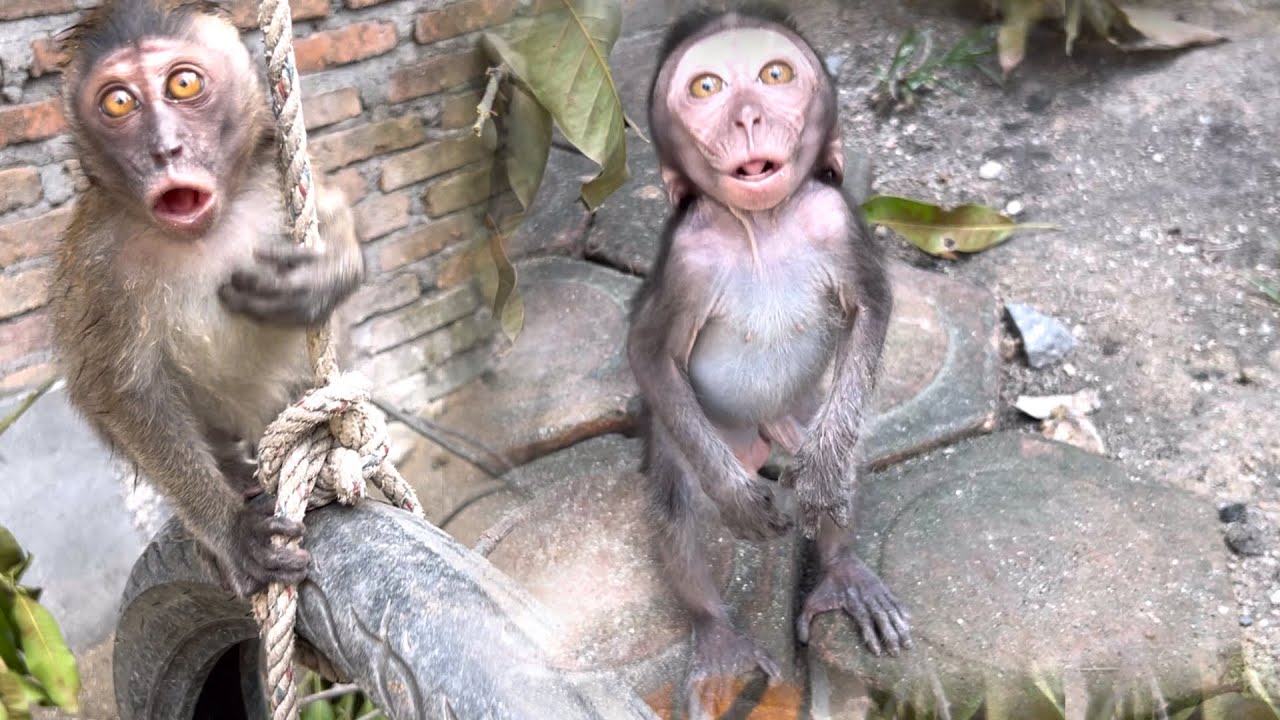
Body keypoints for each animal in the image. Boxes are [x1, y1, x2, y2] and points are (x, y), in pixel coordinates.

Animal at [51, 0, 363, 598]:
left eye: (184, 83)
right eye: (119, 102)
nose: (164, 149)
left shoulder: (274, 175)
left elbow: (334, 215)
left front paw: (326, 278)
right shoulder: (99, 259)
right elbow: (116, 389)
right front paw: (229, 529)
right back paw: (235, 477)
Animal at [627, 5, 911, 711]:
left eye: (775, 75)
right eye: (706, 88)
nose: (748, 117)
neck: (763, 226)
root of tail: (756, 435)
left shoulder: (836, 216)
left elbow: (872, 310)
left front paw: (828, 475)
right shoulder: (686, 260)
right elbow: (648, 356)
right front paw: (735, 501)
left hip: (799, 414)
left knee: (839, 452)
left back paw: (840, 569)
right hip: (693, 436)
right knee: (676, 497)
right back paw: (715, 630)